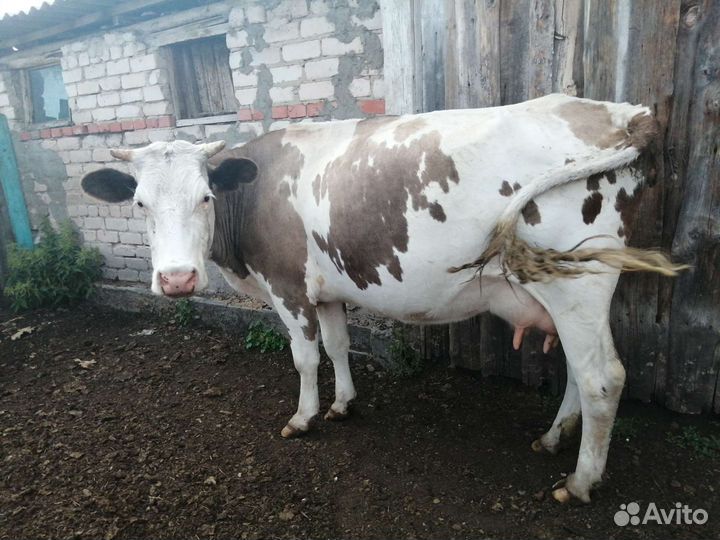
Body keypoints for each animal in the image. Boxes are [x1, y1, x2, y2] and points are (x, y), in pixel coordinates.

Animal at [81, 93, 684, 504]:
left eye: (206, 196)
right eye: (139, 203)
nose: (177, 279)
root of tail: (622, 111)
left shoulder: (288, 287)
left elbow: (305, 357)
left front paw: (305, 417)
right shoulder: (327, 293)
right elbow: (338, 345)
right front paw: (344, 403)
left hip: (576, 284)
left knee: (602, 377)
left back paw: (579, 481)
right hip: (572, 292)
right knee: (581, 374)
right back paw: (554, 439)